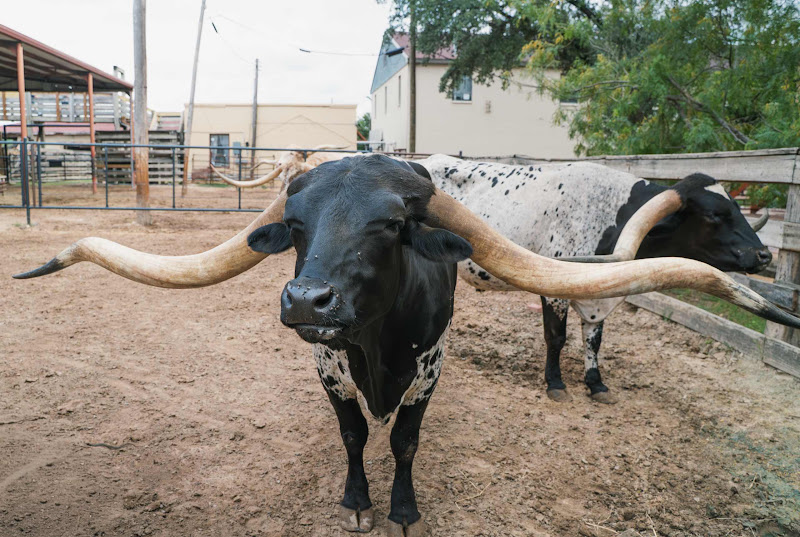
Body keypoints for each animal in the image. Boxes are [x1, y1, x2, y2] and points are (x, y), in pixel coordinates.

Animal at [417, 154, 772, 404]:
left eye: (736, 208)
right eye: (714, 214)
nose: (764, 255)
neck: (610, 212)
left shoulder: (598, 289)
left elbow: (594, 339)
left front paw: (596, 383)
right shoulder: (556, 288)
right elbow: (556, 337)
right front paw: (556, 383)